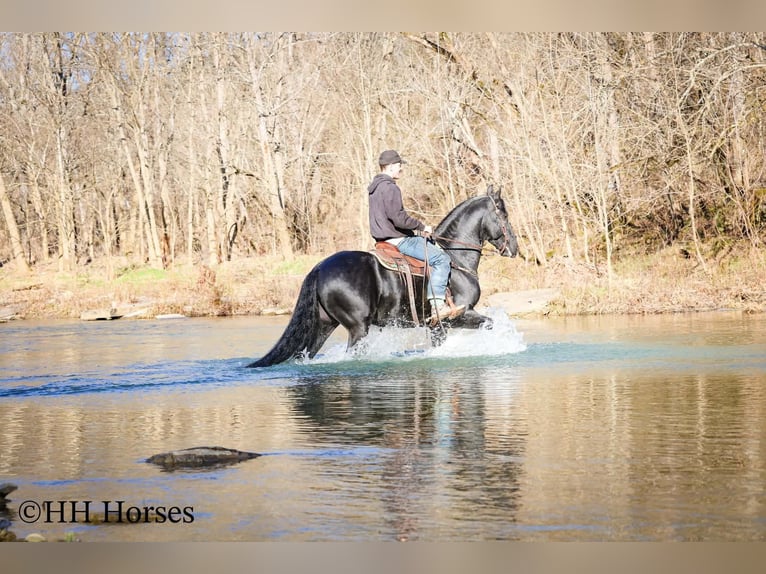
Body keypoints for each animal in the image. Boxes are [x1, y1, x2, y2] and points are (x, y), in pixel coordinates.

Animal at [247, 185, 518, 367]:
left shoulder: (437, 327)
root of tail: (320, 268)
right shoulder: (460, 315)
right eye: (504, 216)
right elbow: (490, 324)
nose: (514, 248)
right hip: (358, 328)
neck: (455, 257)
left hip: (324, 325)